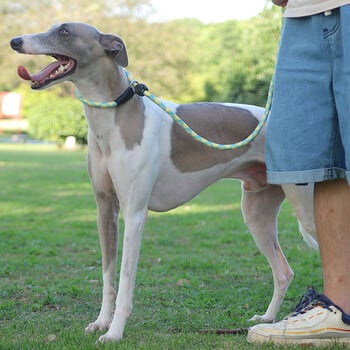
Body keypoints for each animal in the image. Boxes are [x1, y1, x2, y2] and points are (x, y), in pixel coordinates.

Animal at [10, 21, 318, 342]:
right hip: (257, 214)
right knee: (284, 272)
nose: (14, 41)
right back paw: (268, 319)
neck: (114, 116)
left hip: (305, 209)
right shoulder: (105, 209)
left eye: (65, 31)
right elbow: (107, 275)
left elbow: (125, 279)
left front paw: (115, 332)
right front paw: (101, 321)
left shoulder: (134, 214)